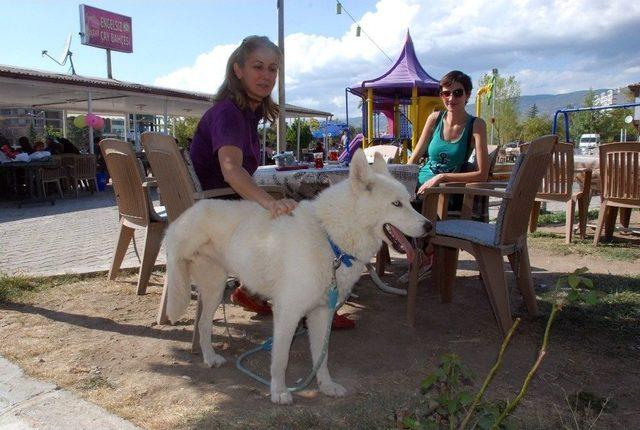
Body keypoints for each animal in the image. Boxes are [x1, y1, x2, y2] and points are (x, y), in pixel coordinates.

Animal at [168, 149, 432, 404]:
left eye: (409, 203)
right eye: (396, 204)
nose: (429, 226)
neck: (331, 238)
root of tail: (190, 210)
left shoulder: (321, 314)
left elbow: (322, 358)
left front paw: (326, 387)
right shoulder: (287, 313)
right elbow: (281, 359)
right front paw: (278, 392)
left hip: (215, 289)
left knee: (203, 323)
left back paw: (210, 357)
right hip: (189, 271)